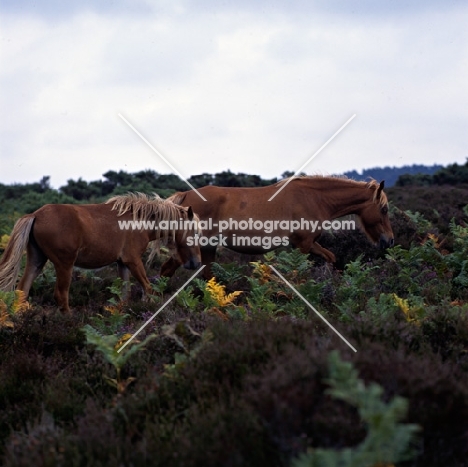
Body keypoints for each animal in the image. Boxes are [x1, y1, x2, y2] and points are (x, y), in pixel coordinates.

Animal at [0, 194, 201, 314]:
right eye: (195, 232)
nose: (196, 263)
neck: (140, 221)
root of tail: (35, 215)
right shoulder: (133, 260)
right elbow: (148, 288)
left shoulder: (122, 263)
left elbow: (125, 294)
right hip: (64, 264)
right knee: (60, 294)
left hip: (37, 260)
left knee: (22, 290)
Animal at [159, 176, 394, 278]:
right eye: (384, 209)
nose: (389, 240)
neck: (314, 198)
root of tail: (185, 196)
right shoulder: (304, 245)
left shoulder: (308, 245)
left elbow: (332, 258)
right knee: (166, 270)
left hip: (207, 248)